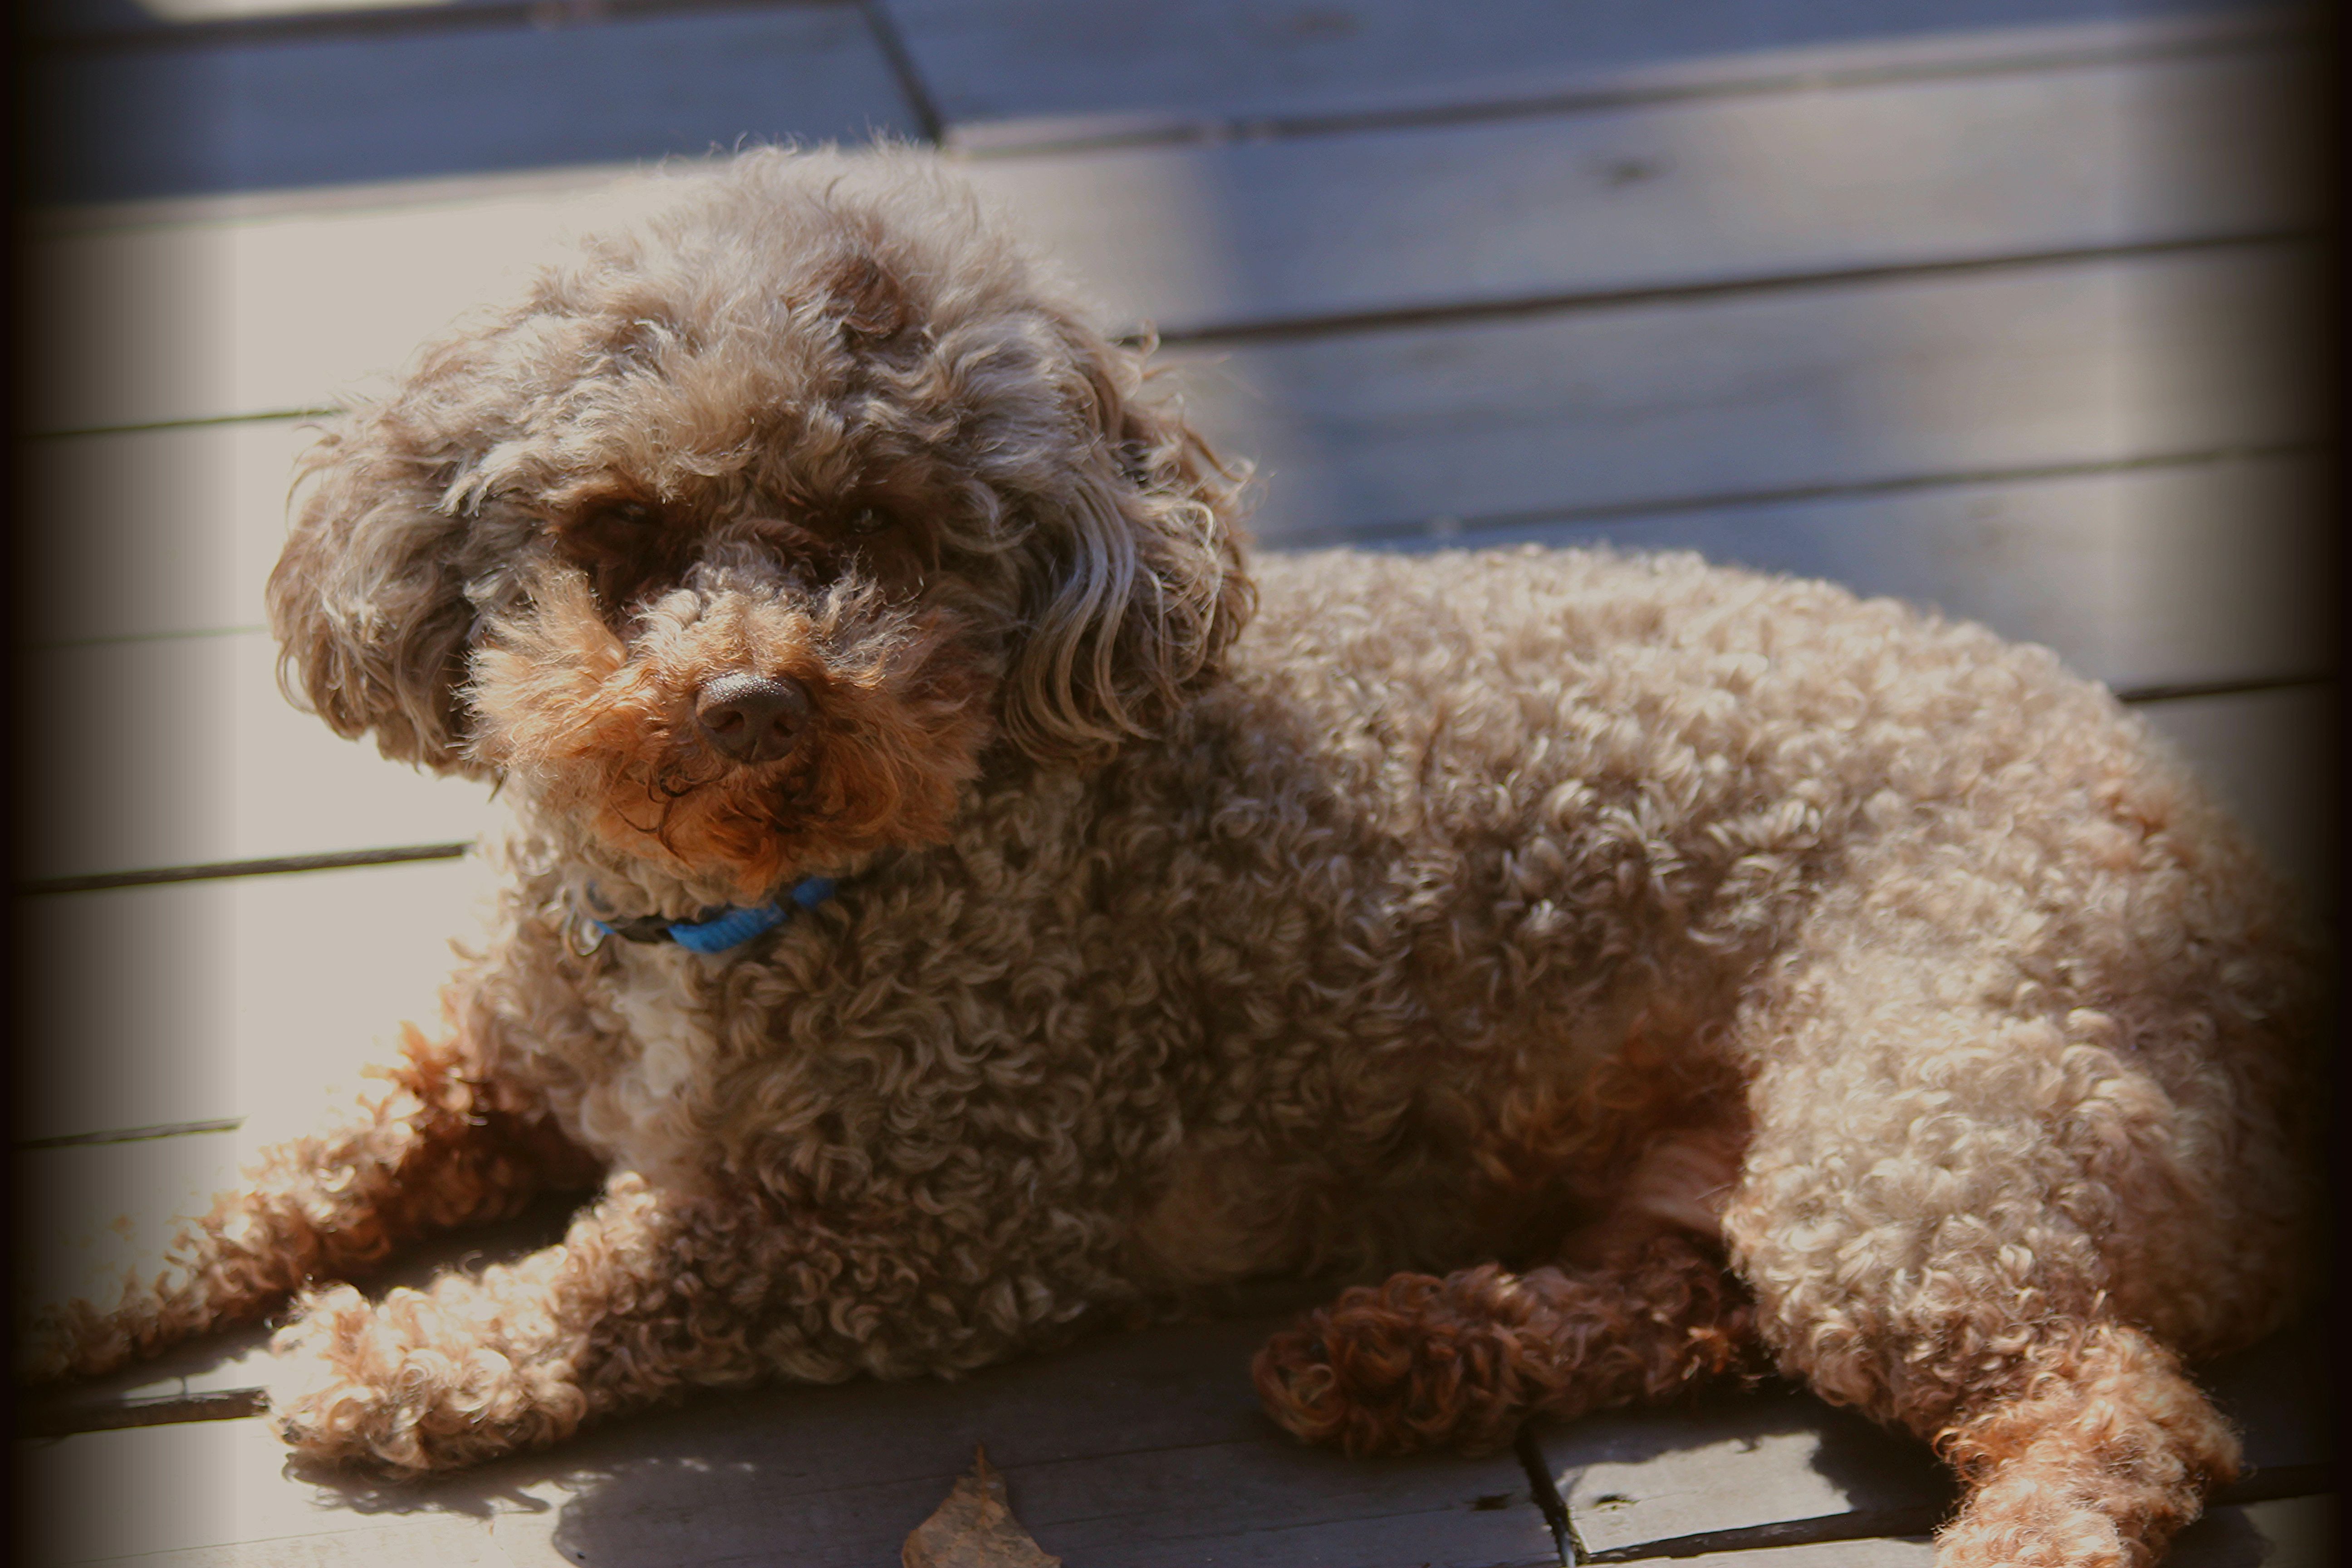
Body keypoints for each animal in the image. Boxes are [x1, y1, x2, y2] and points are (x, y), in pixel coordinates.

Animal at [27, 144, 2323, 1561]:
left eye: (884, 532)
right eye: (628, 532)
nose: (762, 698)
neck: (723, 914)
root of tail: (2257, 909)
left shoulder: (933, 1220)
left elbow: (621, 1271)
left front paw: (406, 1354)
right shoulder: (485, 1050)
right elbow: (282, 1164)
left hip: (1923, 1140)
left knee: (2119, 1413)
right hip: (1759, 1176)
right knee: (1690, 1307)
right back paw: (1401, 1351)